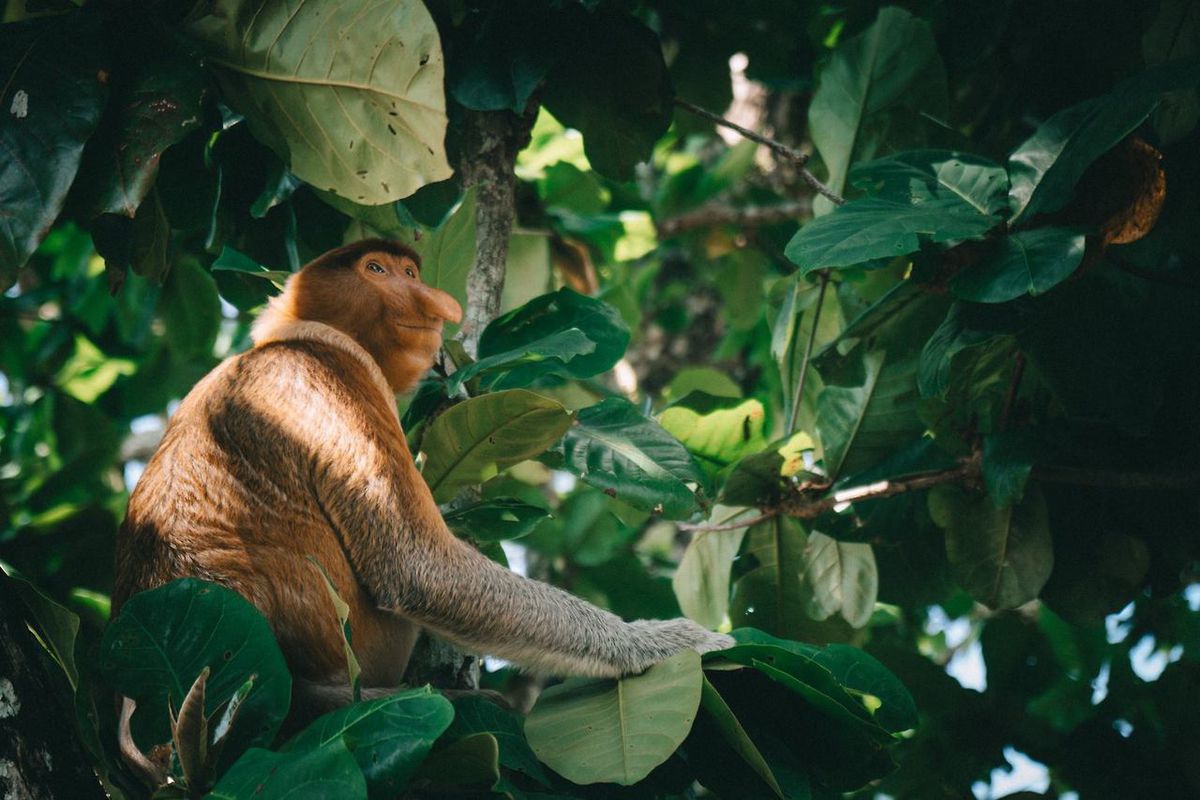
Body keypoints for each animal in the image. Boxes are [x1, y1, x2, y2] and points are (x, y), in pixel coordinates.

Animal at [112, 241, 729, 734]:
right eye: (377, 269)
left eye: (411, 270)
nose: (437, 305)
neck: (285, 339)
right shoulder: (340, 375)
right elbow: (417, 568)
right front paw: (668, 641)